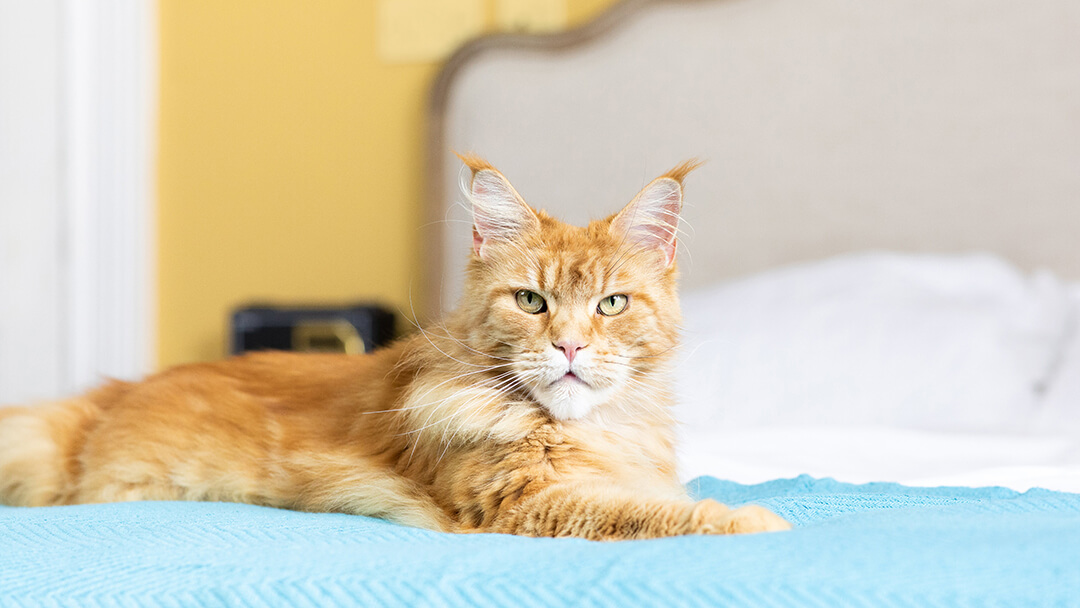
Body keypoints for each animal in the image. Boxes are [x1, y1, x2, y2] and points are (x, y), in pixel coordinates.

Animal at [0, 158, 794, 542]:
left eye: (612, 305)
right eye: (531, 303)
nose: (569, 345)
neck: (583, 431)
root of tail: (109, 396)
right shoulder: (518, 504)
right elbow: (650, 515)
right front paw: (755, 522)